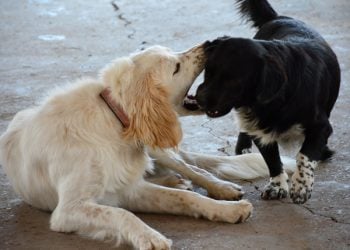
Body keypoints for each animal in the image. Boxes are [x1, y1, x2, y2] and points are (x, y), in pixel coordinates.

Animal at [0, 44, 292, 249]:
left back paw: (219, 187)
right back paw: (174, 180)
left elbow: (188, 198)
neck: (114, 122)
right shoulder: (70, 209)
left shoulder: (129, 188)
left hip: (157, 148)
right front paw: (150, 237)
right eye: (176, 67)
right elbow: (122, 214)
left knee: (191, 167)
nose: (209, 44)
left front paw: (226, 211)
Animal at [187, 0, 340, 203]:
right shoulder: (260, 131)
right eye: (208, 71)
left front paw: (301, 185)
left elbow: (304, 155)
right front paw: (277, 186)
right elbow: (272, 160)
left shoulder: (321, 127)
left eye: (233, 80)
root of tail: (279, 17)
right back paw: (243, 148)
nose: (200, 99)